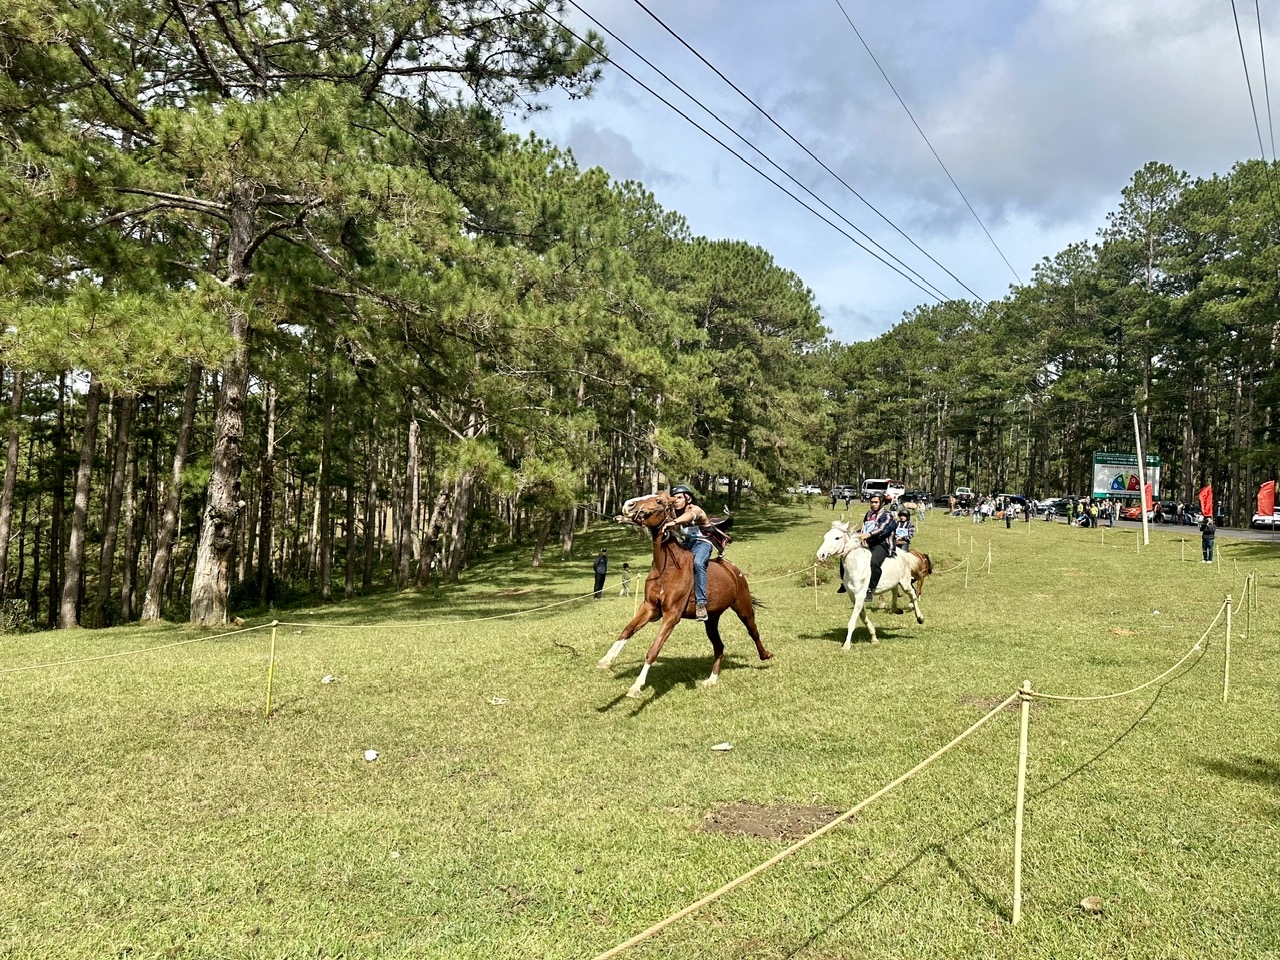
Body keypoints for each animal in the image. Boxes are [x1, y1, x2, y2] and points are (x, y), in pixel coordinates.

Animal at [596, 496, 768, 701]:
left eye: (658, 500)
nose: (628, 504)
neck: (668, 567)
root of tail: (733, 570)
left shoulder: (672, 615)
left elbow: (654, 649)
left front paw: (636, 686)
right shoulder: (649, 607)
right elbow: (627, 630)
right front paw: (606, 660)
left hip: (743, 608)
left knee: (753, 632)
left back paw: (765, 656)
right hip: (711, 619)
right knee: (719, 646)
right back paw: (711, 680)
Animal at [819, 522, 931, 650]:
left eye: (837, 538)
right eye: (825, 537)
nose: (821, 555)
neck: (855, 565)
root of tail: (904, 553)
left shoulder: (861, 595)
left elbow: (852, 621)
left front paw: (846, 645)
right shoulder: (853, 596)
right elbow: (863, 618)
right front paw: (874, 638)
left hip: (905, 582)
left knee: (913, 595)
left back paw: (919, 617)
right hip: (894, 581)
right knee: (894, 591)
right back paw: (897, 610)